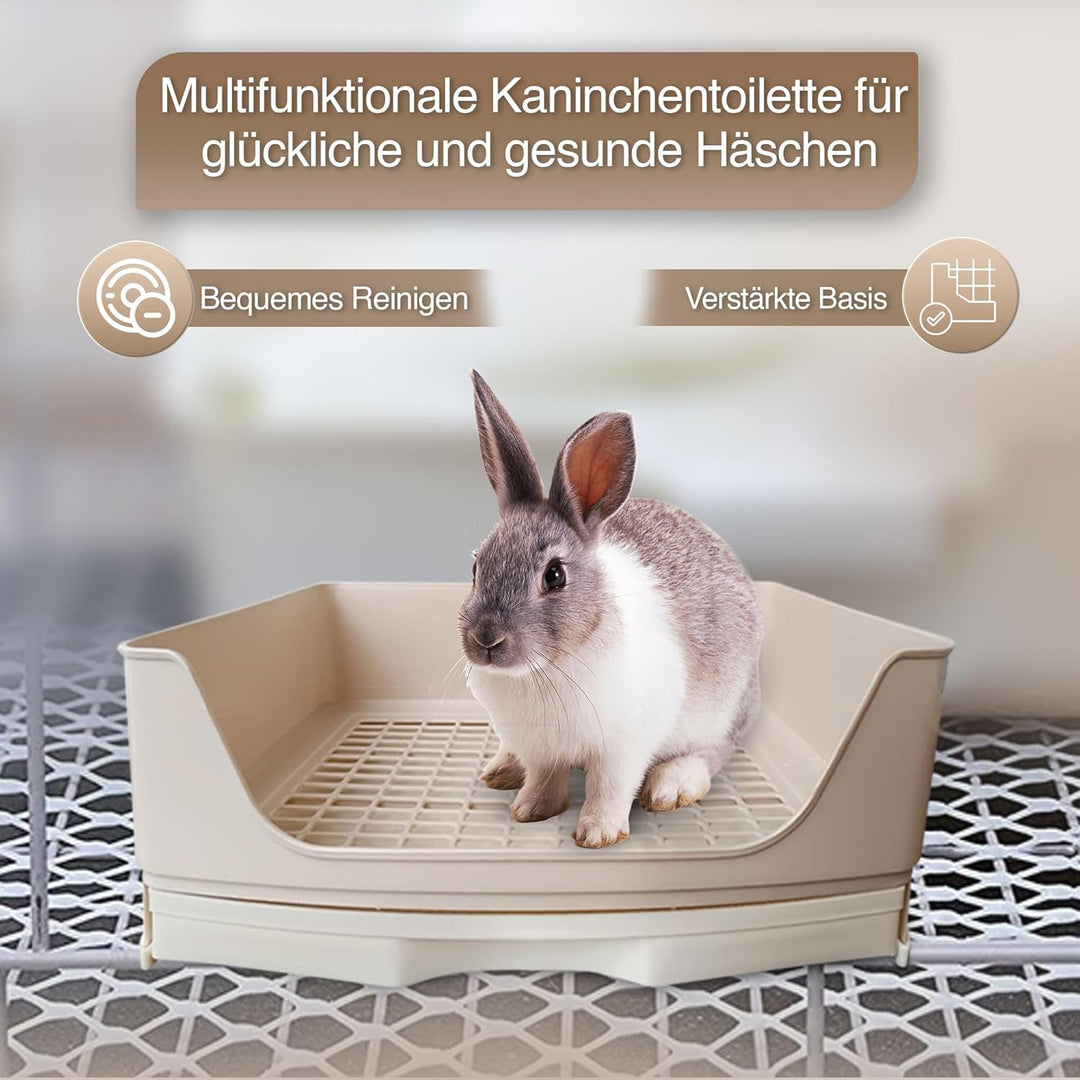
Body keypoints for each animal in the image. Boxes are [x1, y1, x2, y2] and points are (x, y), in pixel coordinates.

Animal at [459, 372, 763, 848]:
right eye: (475, 566)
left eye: (555, 576)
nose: (486, 639)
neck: (546, 670)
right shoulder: (541, 749)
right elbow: (543, 778)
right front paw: (529, 810)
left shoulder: (623, 747)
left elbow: (609, 788)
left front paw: (598, 834)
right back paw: (503, 769)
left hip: (721, 712)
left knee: (713, 751)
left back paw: (672, 785)